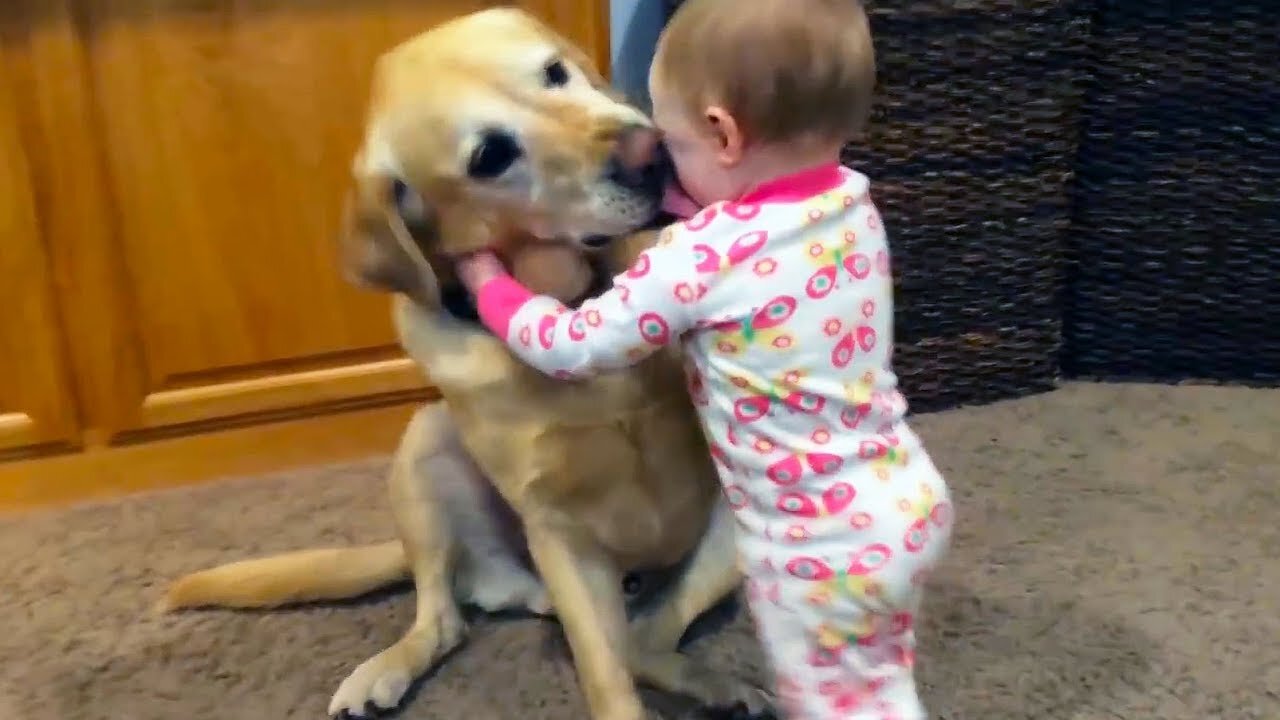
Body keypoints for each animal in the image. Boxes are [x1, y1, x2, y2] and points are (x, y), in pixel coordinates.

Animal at [165, 9, 773, 717]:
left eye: (555, 72)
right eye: (490, 157)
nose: (651, 153)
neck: (575, 304)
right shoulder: (556, 529)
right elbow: (605, 676)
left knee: (648, 636)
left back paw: (721, 684)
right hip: (426, 448)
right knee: (449, 617)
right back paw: (385, 669)